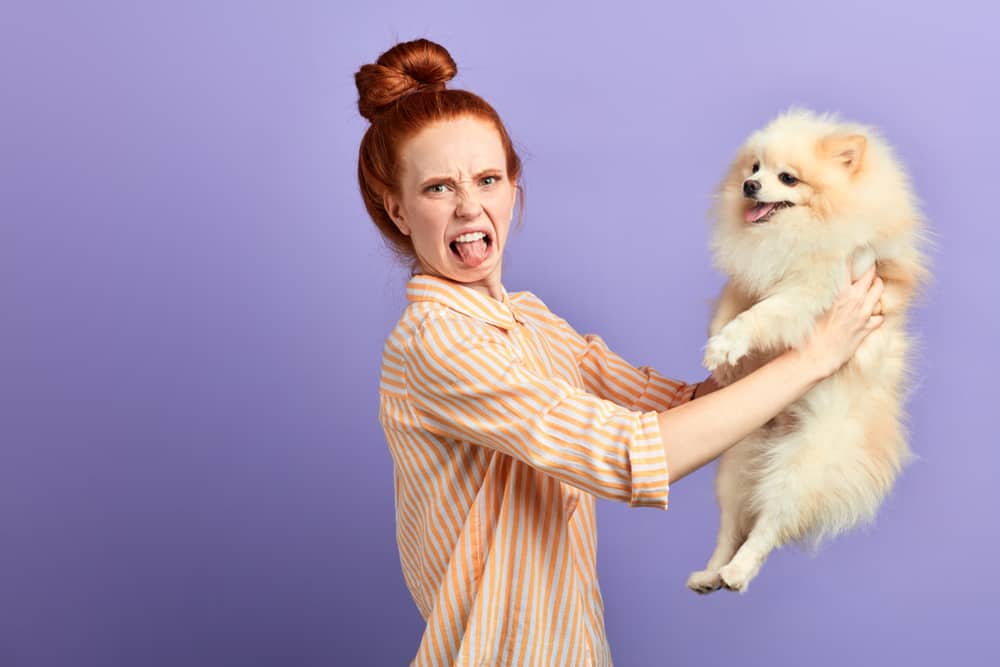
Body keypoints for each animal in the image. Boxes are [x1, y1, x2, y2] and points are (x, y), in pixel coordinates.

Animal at [684, 108, 932, 596]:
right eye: (754, 167)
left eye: (788, 178)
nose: (749, 186)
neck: (795, 234)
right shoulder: (748, 280)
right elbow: (729, 308)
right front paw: (724, 359)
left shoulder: (811, 289)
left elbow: (761, 315)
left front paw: (728, 347)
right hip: (738, 462)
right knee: (732, 527)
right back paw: (711, 573)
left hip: (804, 465)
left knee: (768, 525)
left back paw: (738, 572)